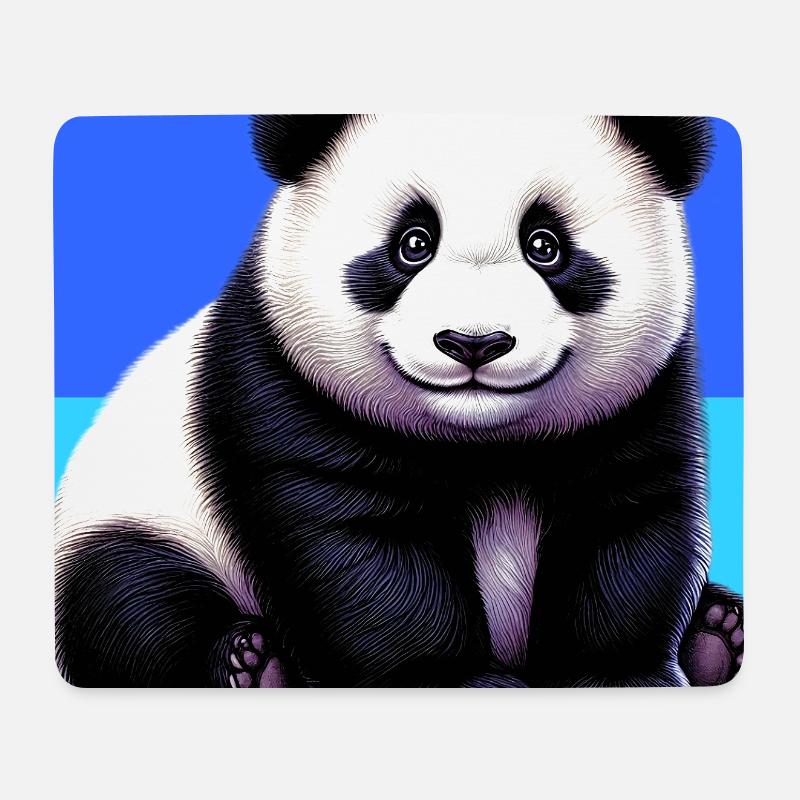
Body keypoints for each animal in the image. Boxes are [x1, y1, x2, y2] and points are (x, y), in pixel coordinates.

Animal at [55, 114, 743, 688]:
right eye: (413, 242)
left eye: (545, 245)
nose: (473, 342)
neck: (486, 445)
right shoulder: (284, 391)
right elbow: (364, 545)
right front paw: (457, 680)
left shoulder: (642, 400)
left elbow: (627, 521)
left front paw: (618, 674)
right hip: (144, 516)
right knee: (132, 600)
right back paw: (252, 663)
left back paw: (717, 634)